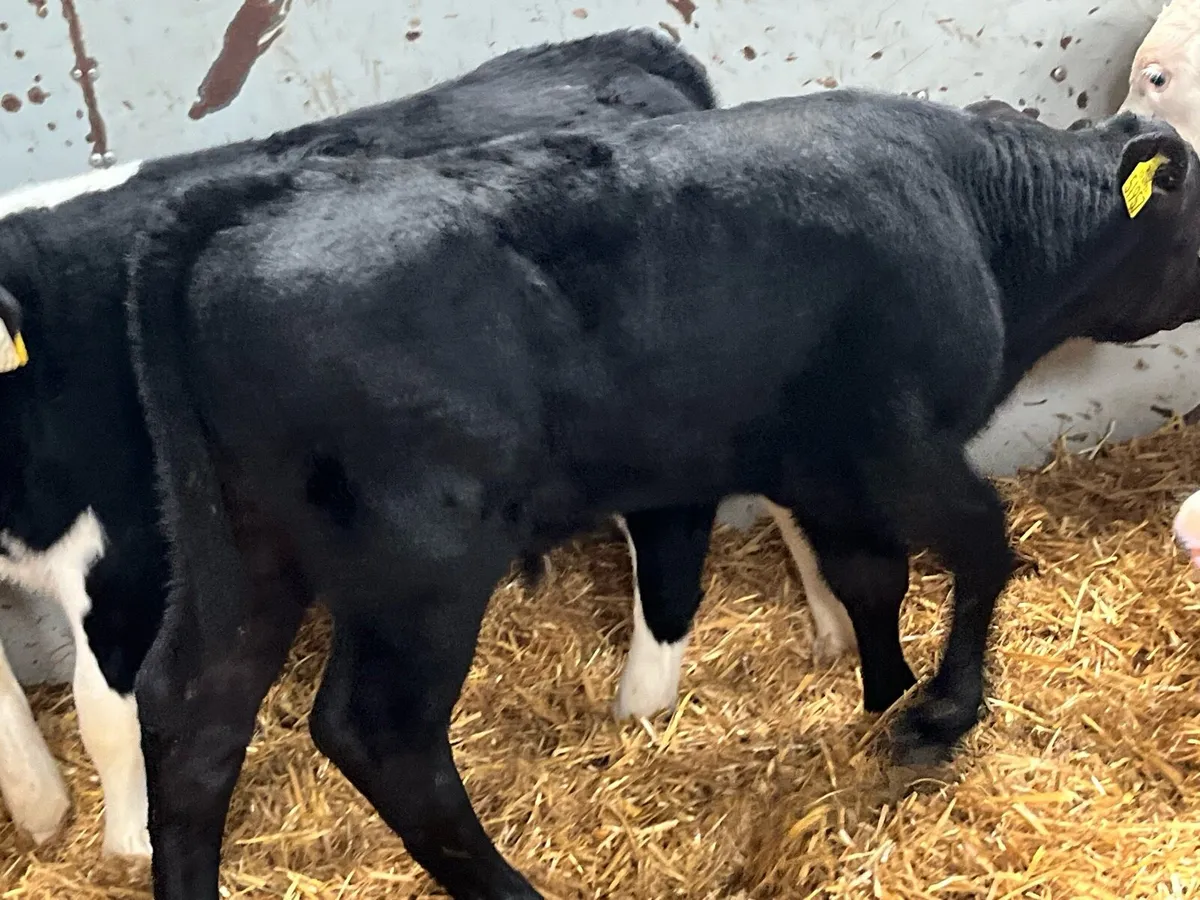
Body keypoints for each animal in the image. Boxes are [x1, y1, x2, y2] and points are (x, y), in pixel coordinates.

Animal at [0, 27, 722, 858]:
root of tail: (619, 47)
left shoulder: (124, 558)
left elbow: (103, 712)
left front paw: (127, 844)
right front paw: (43, 813)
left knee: (669, 552)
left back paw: (642, 712)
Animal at [120, 89, 1200, 898]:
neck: (983, 216)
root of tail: (242, 202)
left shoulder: (819, 470)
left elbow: (872, 581)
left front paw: (885, 697)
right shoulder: (898, 449)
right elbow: (983, 546)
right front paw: (939, 714)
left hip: (241, 551)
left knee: (193, 707)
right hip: (421, 566)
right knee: (380, 733)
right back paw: (512, 890)